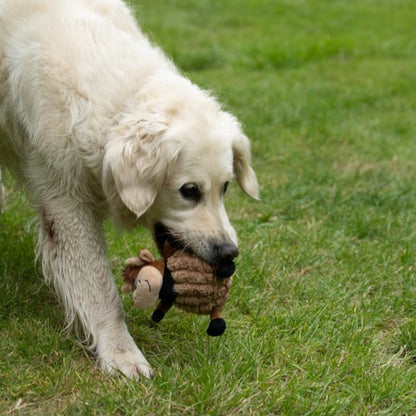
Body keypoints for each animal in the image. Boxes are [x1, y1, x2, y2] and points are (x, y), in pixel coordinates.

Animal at [0, 0, 258, 378]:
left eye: (225, 188)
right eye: (189, 191)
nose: (229, 253)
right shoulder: (67, 204)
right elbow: (99, 288)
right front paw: (121, 353)